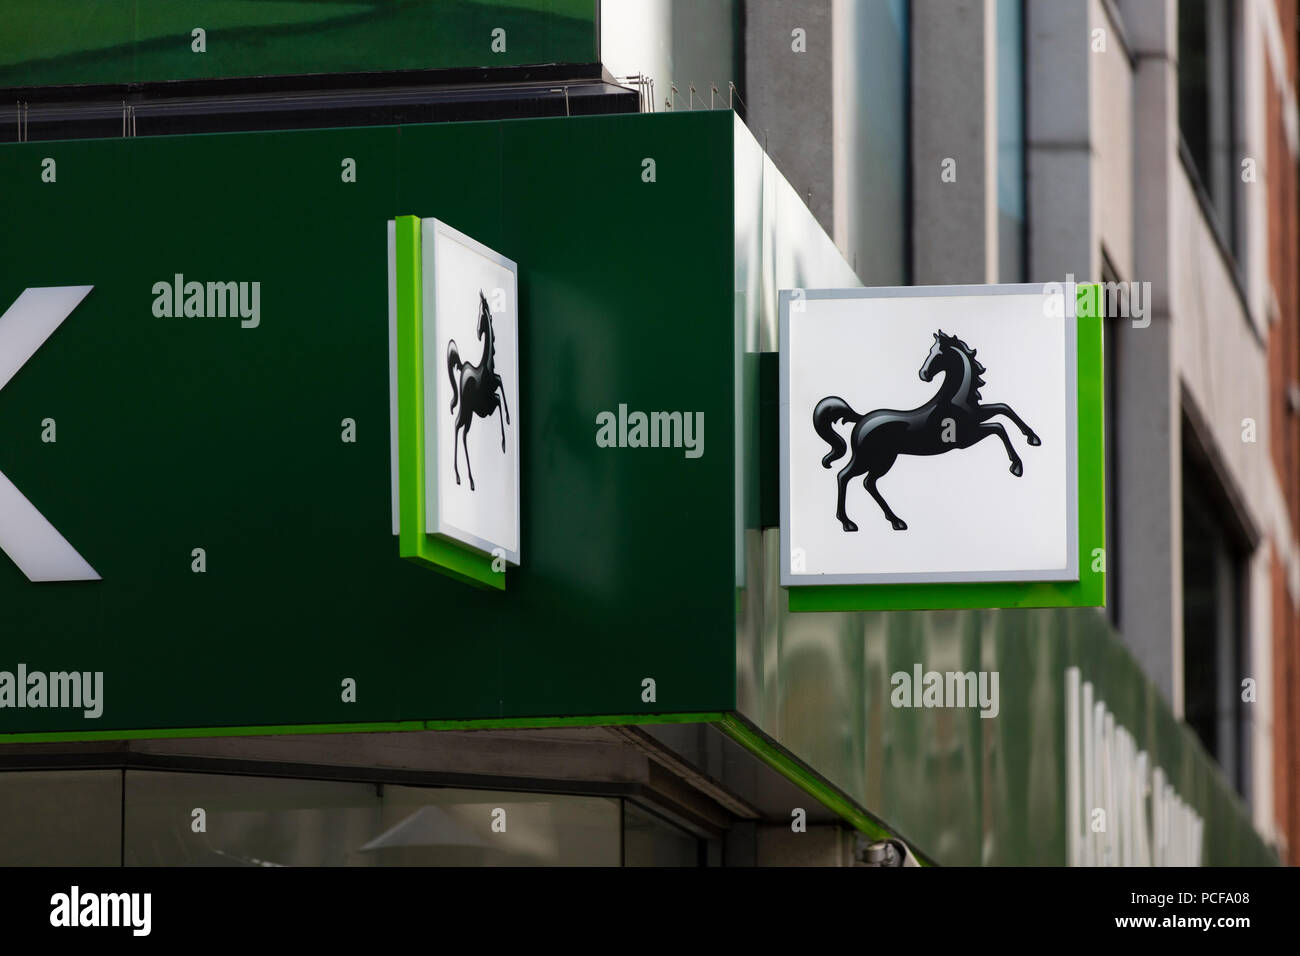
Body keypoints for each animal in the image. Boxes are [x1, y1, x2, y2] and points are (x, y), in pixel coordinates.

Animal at [447, 291, 506, 489]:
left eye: (482, 314)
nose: (479, 334)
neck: (487, 364)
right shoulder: (487, 401)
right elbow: (499, 398)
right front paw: (504, 442)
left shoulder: (493, 389)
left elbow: (501, 386)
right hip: (468, 410)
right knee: (459, 428)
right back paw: (464, 478)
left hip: (469, 411)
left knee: (462, 431)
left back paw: (465, 478)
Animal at [816, 330, 1040, 535]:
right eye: (931, 351)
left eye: (938, 353)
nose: (923, 374)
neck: (954, 399)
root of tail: (861, 419)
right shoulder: (966, 438)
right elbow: (999, 428)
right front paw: (1017, 466)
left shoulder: (977, 417)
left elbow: (1004, 408)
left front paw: (1033, 438)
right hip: (869, 458)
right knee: (844, 476)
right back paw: (848, 523)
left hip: (882, 460)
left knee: (868, 483)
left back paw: (895, 521)